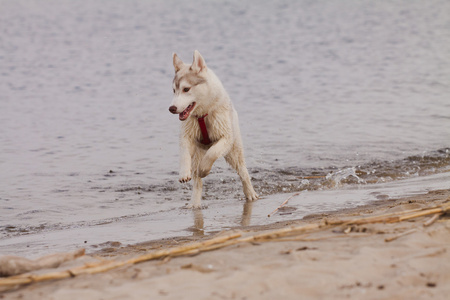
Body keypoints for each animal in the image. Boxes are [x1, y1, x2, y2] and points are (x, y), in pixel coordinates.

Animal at [169, 49, 258, 209]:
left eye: (186, 89)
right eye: (174, 90)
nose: (171, 108)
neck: (202, 114)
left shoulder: (225, 137)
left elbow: (212, 153)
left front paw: (205, 168)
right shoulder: (187, 135)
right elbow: (184, 154)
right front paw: (184, 173)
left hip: (234, 151)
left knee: (243, 172)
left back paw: (250, 193)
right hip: (197, 154)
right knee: (197, 182)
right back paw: (194, 203)